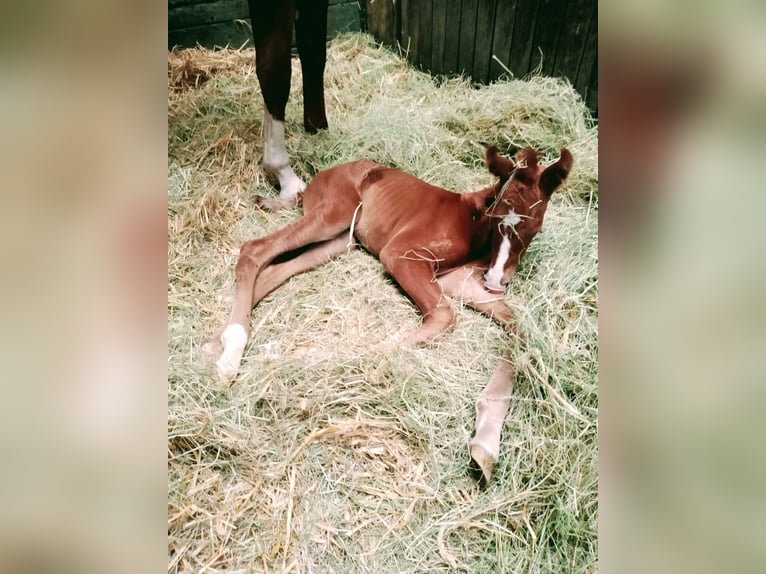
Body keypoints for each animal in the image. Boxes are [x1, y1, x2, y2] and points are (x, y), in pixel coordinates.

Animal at [207, 144, 572, 482]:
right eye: (497, 218)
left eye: (536, 228)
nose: (497, 281)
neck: (473, 225)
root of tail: (323, 175)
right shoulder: (400, 255)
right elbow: (445, 317)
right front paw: (331, 361)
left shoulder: (460, 283)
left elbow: (516, 325)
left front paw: (485, 446)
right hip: (335, 214)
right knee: (254, 250)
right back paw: (231, 354)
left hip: (341, 240)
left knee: (272, 271)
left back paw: (220, 342)